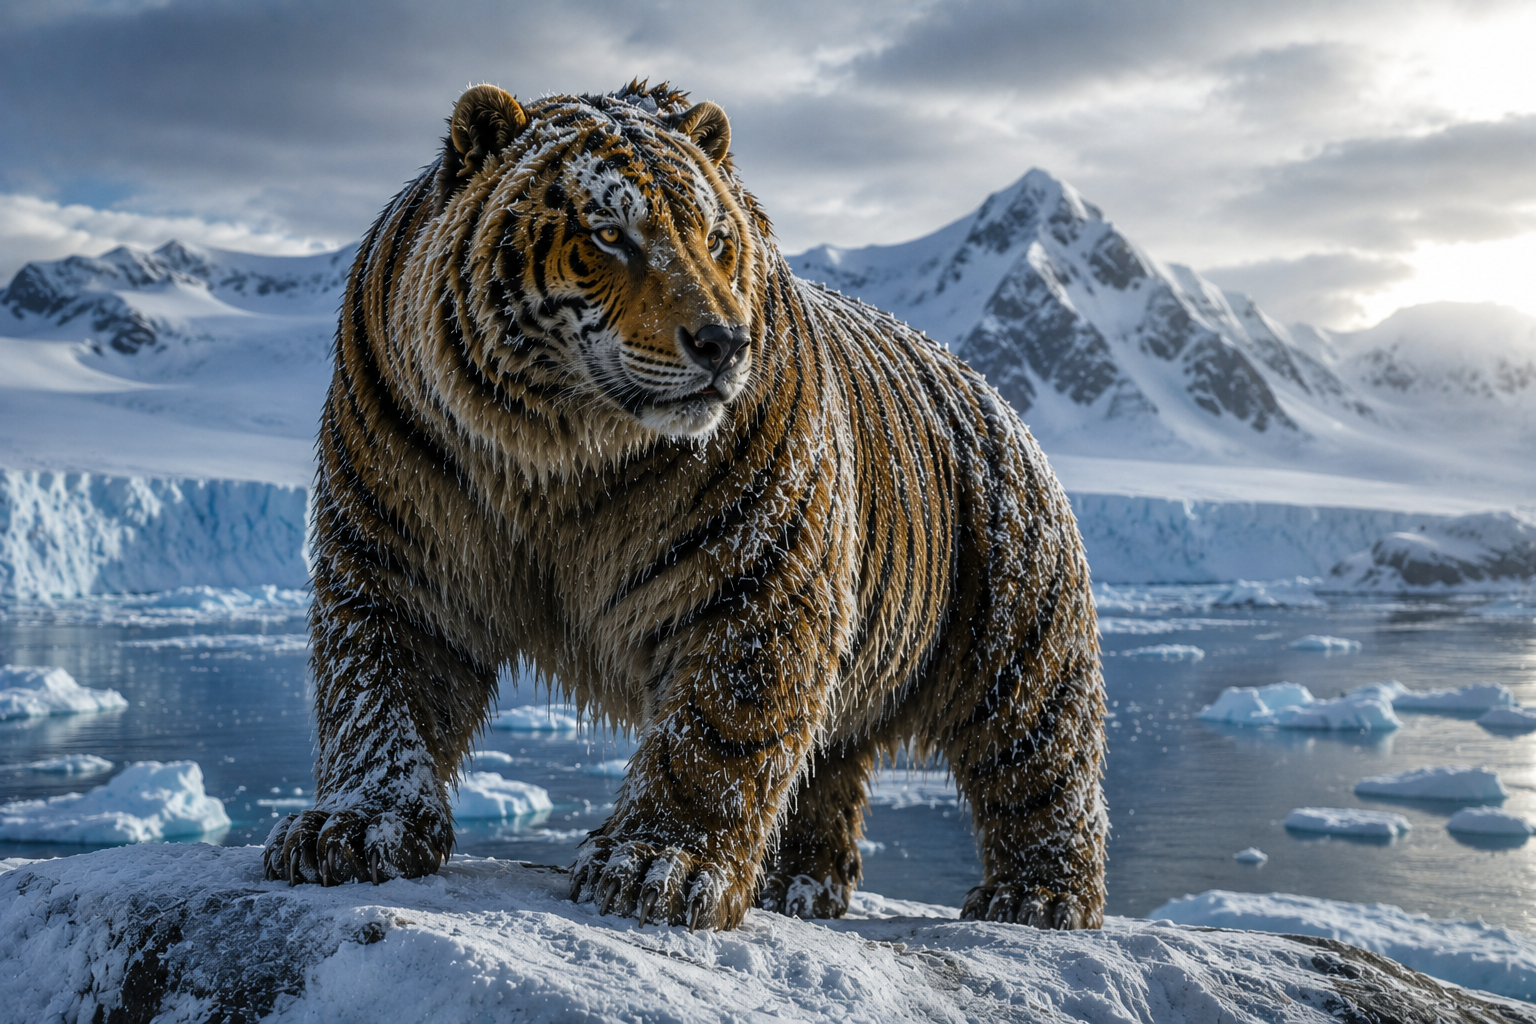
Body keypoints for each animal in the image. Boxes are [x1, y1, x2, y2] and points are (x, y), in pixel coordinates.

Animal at [263, 80, 1108, 933]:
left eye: (714, 238)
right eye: (610, 234)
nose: (724, 343)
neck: (553, 457)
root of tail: (1000, 402)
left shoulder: (756, 572)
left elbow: (719, 733)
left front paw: (657, 864)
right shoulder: (397, 549)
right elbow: (381, 691)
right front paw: (354, 828)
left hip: (1018, 640)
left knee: (1043, 764)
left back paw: (1036, 897)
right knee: (829, 765)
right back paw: (798, 886)